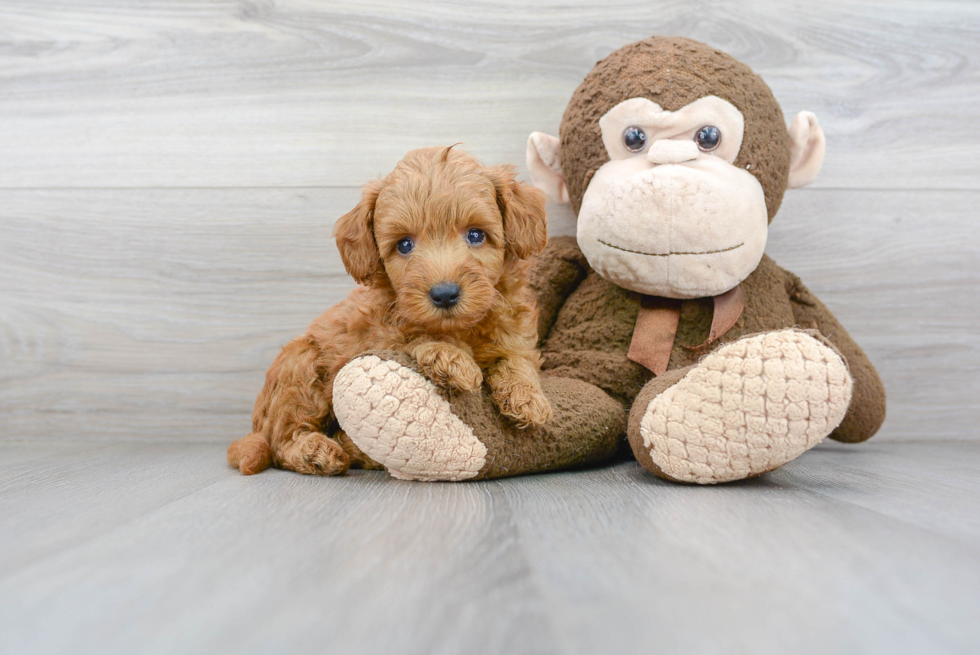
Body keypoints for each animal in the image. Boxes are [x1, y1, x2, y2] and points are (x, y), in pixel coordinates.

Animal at [226, 146, 556, 476]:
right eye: (405, 244)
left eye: (476, 235)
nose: (444, 294)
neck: (460, 328)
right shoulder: (379, 335)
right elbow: (412, 337)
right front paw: (451, 357)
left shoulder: (513, 331)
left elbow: (516, 359)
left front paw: (528, 398)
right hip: (299, 367)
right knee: (284, 441)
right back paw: (318, 451)